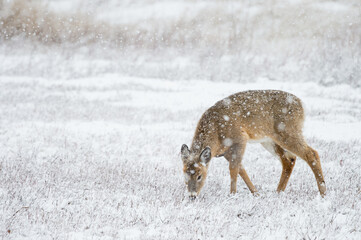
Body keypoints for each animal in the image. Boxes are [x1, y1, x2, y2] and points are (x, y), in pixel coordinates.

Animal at [181, 90, 324, 199]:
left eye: (199, 176)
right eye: (185, 175)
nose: (192, 196)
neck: (216, 132)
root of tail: (301, 105)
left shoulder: (240, 139)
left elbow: (233, 169)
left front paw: (232, 195)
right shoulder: (226, 152)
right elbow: (241, 169)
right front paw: (256, 193)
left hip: (288, 131)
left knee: (311, 153)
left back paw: (323, 192)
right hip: (269, 140)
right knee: (289, 160)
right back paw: (278, 192)